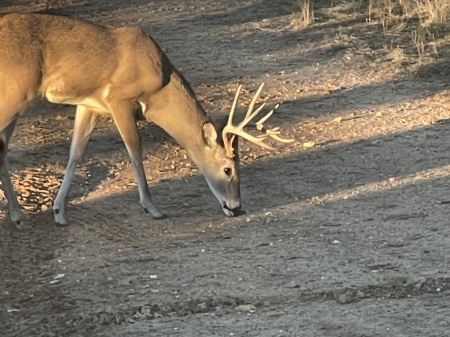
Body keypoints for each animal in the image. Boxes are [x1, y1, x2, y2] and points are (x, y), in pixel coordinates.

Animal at [0, 13, 294, 228]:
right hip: (16, 92)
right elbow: (135, 150)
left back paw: (17, 215)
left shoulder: (88, 105)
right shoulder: (119, 99)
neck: (160, 88)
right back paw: (16, 215)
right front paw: (152, 208)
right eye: (227, 169)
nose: (236, 208)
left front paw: (59, 211)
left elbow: (76, 153)